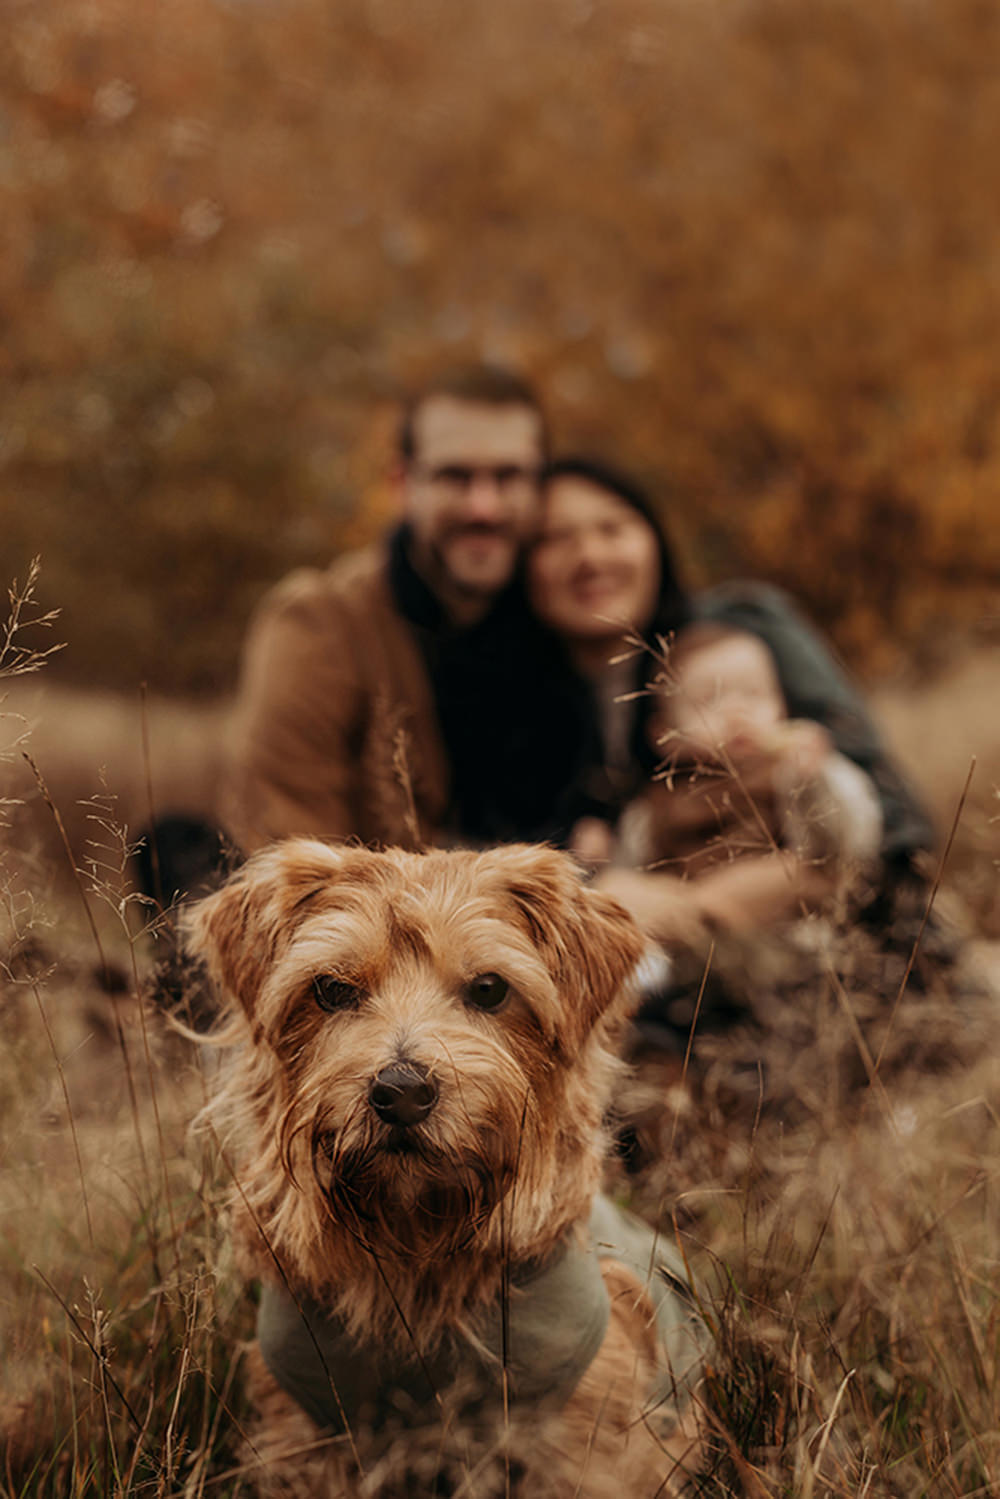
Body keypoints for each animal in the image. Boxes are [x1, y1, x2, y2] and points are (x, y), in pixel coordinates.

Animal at [187, 845, 704, 1499]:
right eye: (331, 988)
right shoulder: (307, 1431)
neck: (417, 1243)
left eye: (489, 989)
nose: (402, 1092)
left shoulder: (580, 1441)